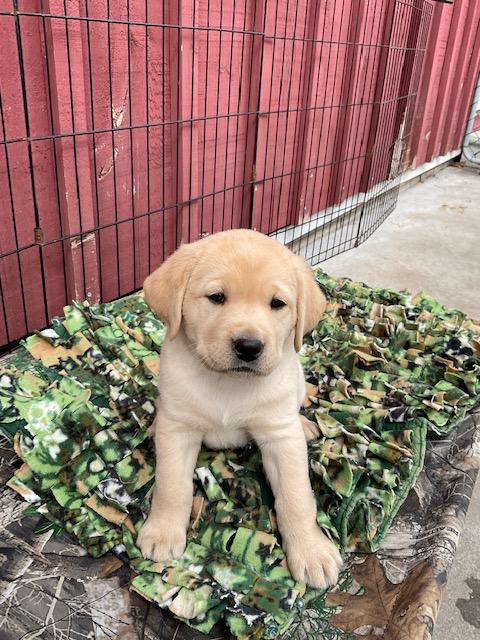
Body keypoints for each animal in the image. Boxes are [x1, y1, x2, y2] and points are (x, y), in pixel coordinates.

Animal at [137, 228, 344, 588]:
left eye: (277, 304)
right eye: (217, 297)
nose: (249, 346)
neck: (228, 383)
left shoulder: (280, 438)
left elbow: (296, 497)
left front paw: (311, 551)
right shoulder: (179, 430)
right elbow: (171, 485)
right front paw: (162, 533)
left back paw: (304, 426)